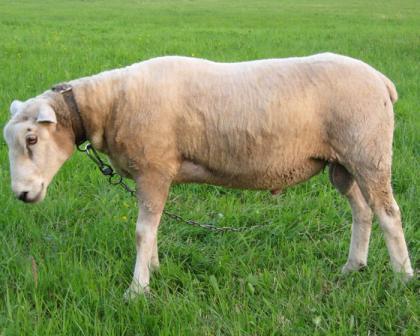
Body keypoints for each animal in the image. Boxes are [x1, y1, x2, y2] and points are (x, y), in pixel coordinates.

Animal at [3, 53, 414, 300]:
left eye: (32, 138)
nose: (21, 194)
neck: (109, 104)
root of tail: (382, 81)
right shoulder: (157, 174)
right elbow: (153, 227)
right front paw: (155, 268)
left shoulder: (153, 167)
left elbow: (142, 231)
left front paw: (137, 290)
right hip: (343, 163)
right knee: (362, 211)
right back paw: (352, 267)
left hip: (369, 151)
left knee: (388, 213)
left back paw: (403, 278)